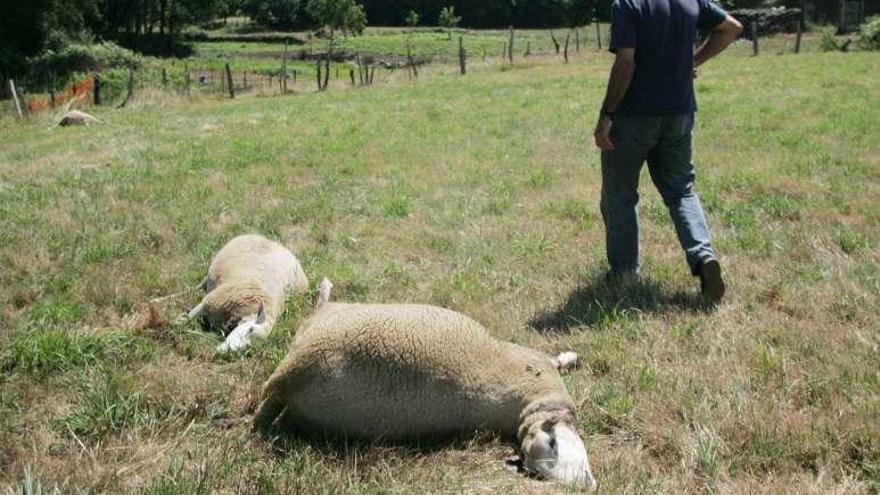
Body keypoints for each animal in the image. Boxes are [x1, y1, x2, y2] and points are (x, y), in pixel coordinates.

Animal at [254, 280, 600, 488]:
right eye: (552, 445)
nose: (584, 487)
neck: (531, 404)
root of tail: (288, 378)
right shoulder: (533, 359)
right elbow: (554, 358)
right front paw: (568, 356)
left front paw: (569, 358)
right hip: (331, 319)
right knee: (321, 306)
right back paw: (324, 288)